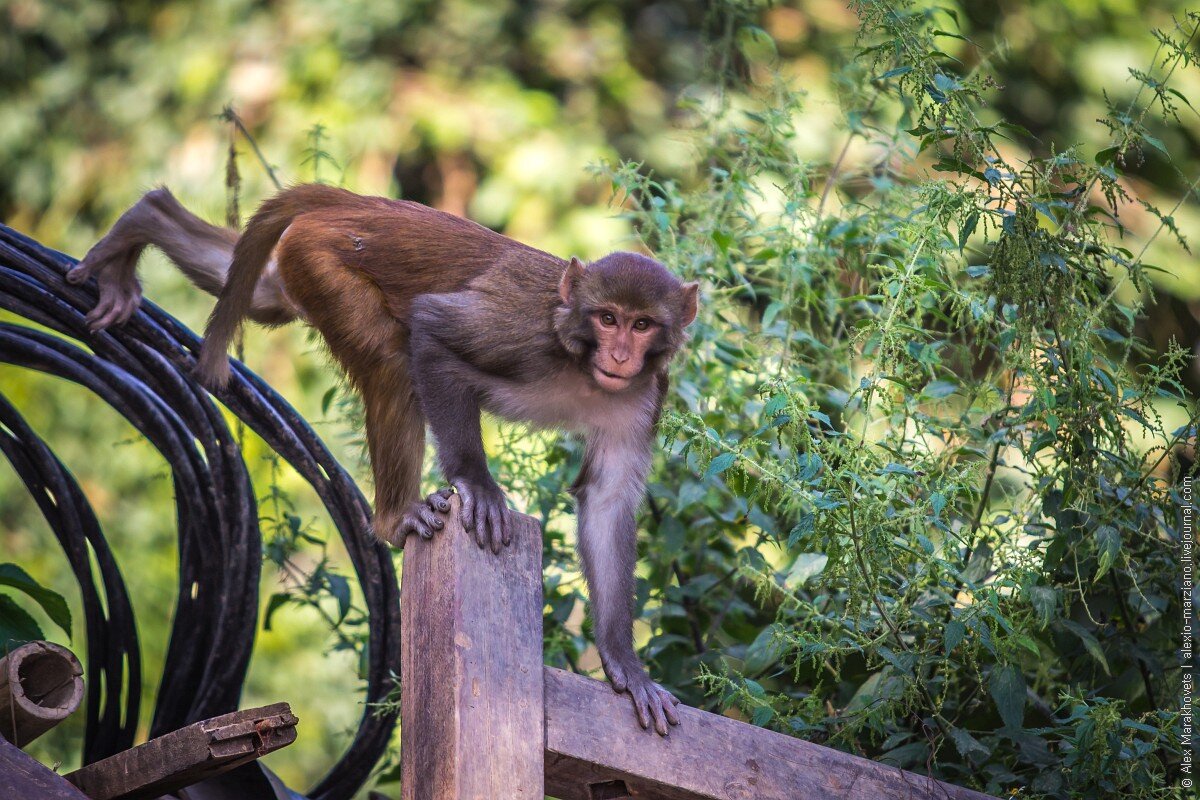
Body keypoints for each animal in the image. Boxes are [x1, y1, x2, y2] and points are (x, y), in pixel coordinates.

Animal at [70, 184, 700, 734]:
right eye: (607, 318)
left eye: (643, 324)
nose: (620, 354)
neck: (581, 364)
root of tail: (363, 203)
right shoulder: (525, 337)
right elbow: (434, 333)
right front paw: (476, 483)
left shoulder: (642, 396)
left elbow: (607, 501)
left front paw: (624, 662)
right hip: (324, 258)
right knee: (392, 358)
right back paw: (396, 518)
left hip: (300, 265)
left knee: (266, 293)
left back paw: (148, 218)